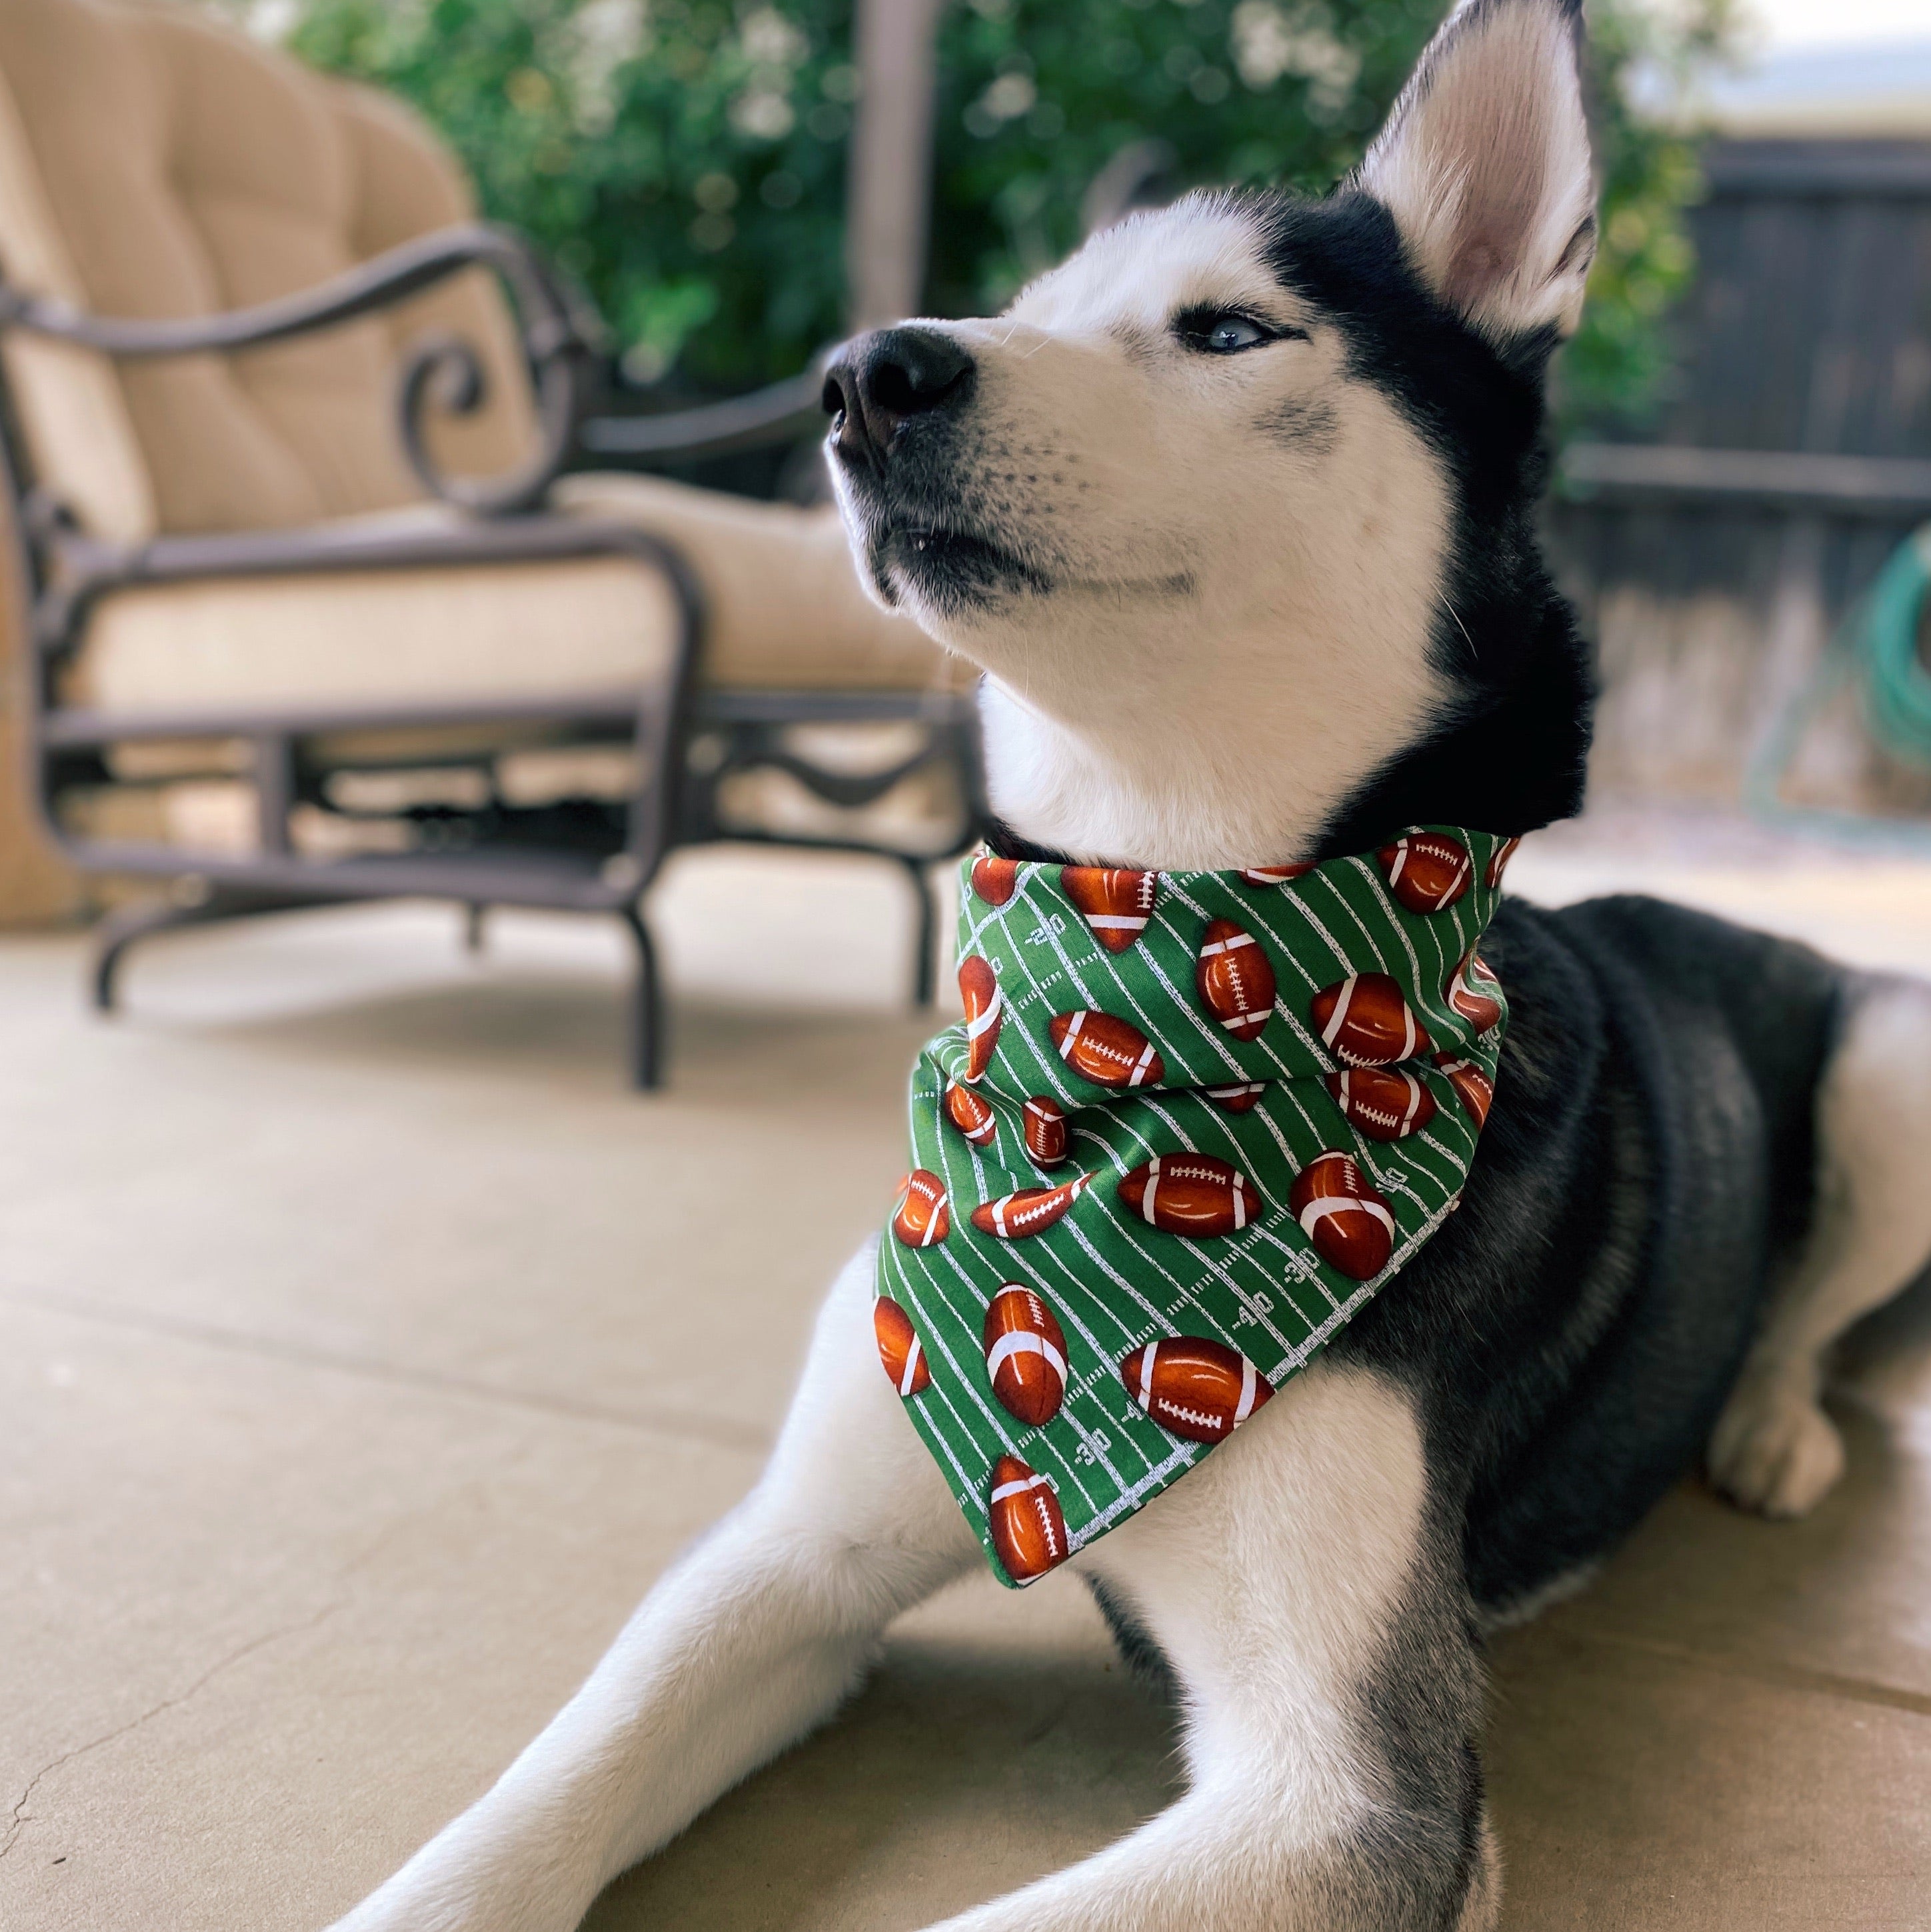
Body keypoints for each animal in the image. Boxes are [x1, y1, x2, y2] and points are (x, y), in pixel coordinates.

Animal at [339, 0, 1931, 1924]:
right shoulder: (792, 1553)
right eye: (1019, 307)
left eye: (1229, 328)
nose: (864, 375)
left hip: (1892, 1066)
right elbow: (539, 1792)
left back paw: (1772, 1423)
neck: (1146, 950)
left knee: (1816, 1308)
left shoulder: (1350, 1802)